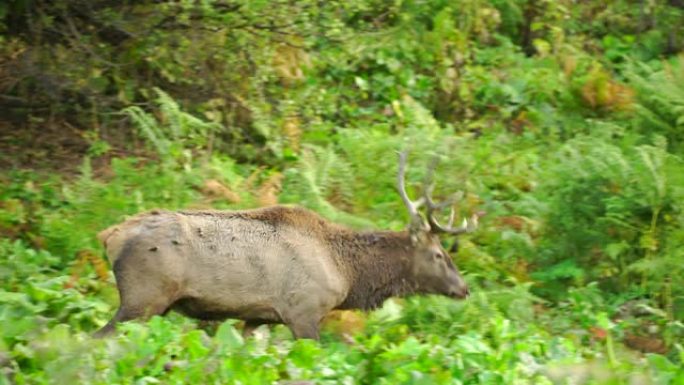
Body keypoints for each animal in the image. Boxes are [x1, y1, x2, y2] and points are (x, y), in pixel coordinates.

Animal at [95, 152, 480, 338]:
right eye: (439, 254)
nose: (464, 288)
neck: (347, 273)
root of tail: (109, 235)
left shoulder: (258, 318)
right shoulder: (304, 311)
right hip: (142, 299)